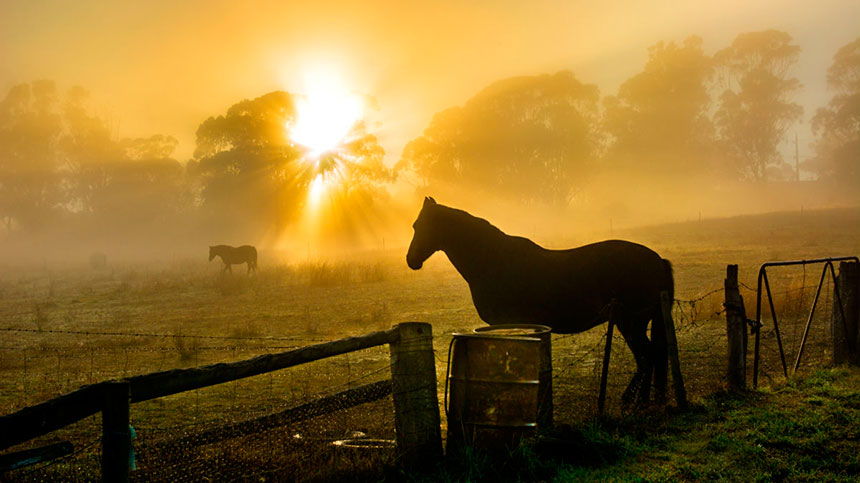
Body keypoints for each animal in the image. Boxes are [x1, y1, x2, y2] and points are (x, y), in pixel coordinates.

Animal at [406, 197, 676, 404]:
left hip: (631, 323)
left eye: (419, 225)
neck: (493, 260)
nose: (411, 260)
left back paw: (632, 400)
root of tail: (657, 260)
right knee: (651, 357)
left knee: (647, 356)